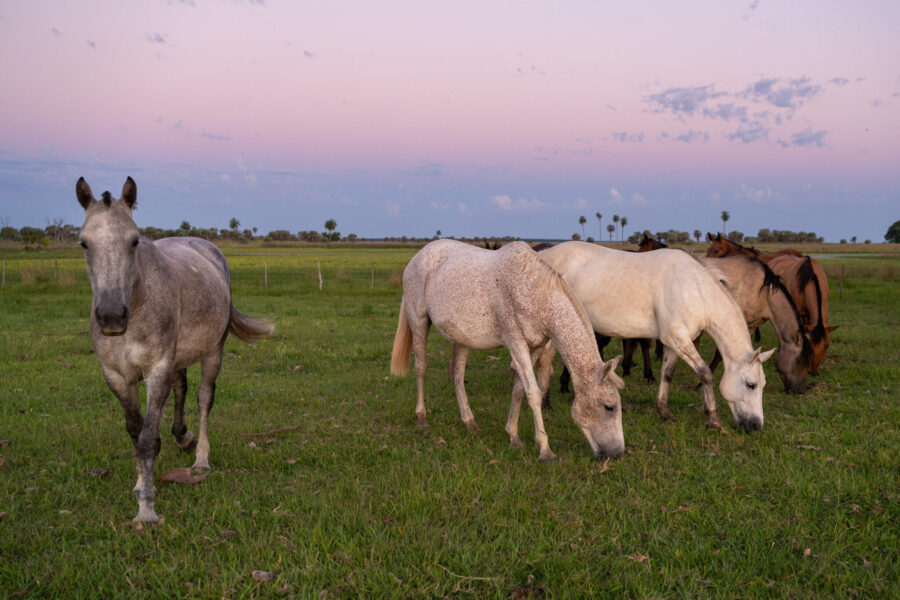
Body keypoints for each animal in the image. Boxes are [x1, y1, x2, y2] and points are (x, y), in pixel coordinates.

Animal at [76, 177, 274, 523]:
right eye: (84, 243)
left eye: (134, 242)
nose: (112, 315)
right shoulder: (116, 376)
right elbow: (135, 430)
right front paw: (140, 482)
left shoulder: (156, 370)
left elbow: (148, 438)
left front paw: (146, 508)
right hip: (178, 358)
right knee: (182, 388)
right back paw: (182, 436)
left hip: (212, 352)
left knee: (204, 398)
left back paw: (201, 459)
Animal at [390, 239, 625, 461]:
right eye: (609, 407)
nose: (618, 453)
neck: (532, 291)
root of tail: (418, 257)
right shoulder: (515, 342)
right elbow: (533, 393)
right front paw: (545, 450)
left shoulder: (534, 347)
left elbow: (519, 390)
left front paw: (513, 435)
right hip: (419, 323)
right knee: (421, 368)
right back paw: (422, 418)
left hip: (462, 339)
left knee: (456, 373)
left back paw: (470, 422)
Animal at [537, 241, 774, 432]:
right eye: (751, 385)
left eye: (763, 385)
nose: (756, 426)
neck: (695, 289)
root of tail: (543, 255)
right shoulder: (679, 339)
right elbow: (705, 374)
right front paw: (713, 419)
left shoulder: (674, 343)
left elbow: (667, 374)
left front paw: (664, 411)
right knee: (545, 361)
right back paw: (546, 403)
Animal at [699, 256, 813, 393]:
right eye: (799, 361)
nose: (800, 390)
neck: (762, 294)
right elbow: (719, 355)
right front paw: (700, 385)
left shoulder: (751, 325)